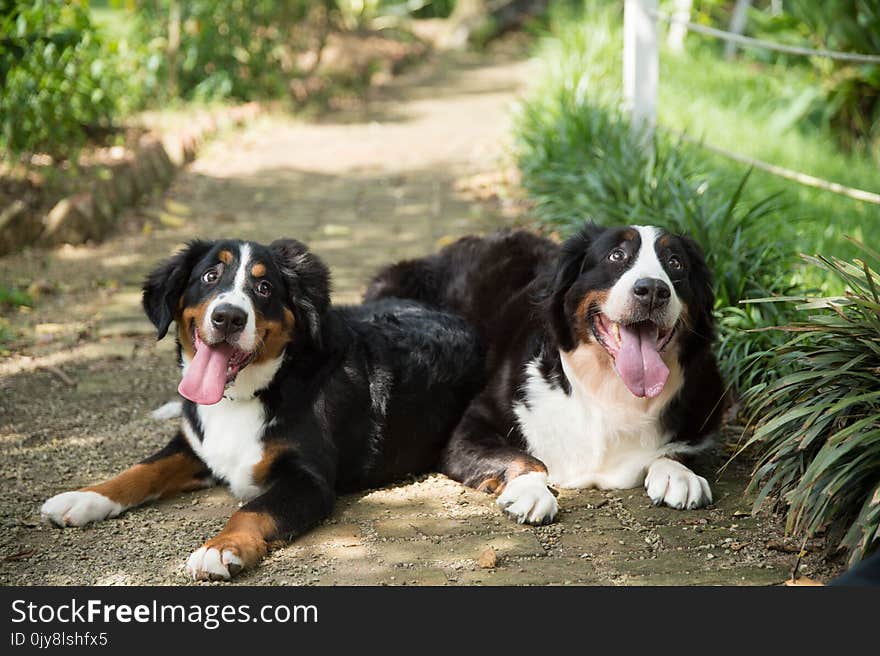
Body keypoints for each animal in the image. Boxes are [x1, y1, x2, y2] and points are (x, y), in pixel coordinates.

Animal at [39, 237, 482, 580]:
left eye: (265, 286)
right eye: (210, 276)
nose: (228, 317)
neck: (242, 397)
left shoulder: (307, 479)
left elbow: (251, 511)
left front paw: (221, 549)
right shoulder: (194, 445)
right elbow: (141, 470)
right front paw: (85, 497)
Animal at [364, 223, 720, 524]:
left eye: (675, 263)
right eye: (616, 256)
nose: (653, 290)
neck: (609, 392)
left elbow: (679, 449)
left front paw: (678, 473)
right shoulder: (472, 425)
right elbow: (531, 460)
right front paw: (530, 492)